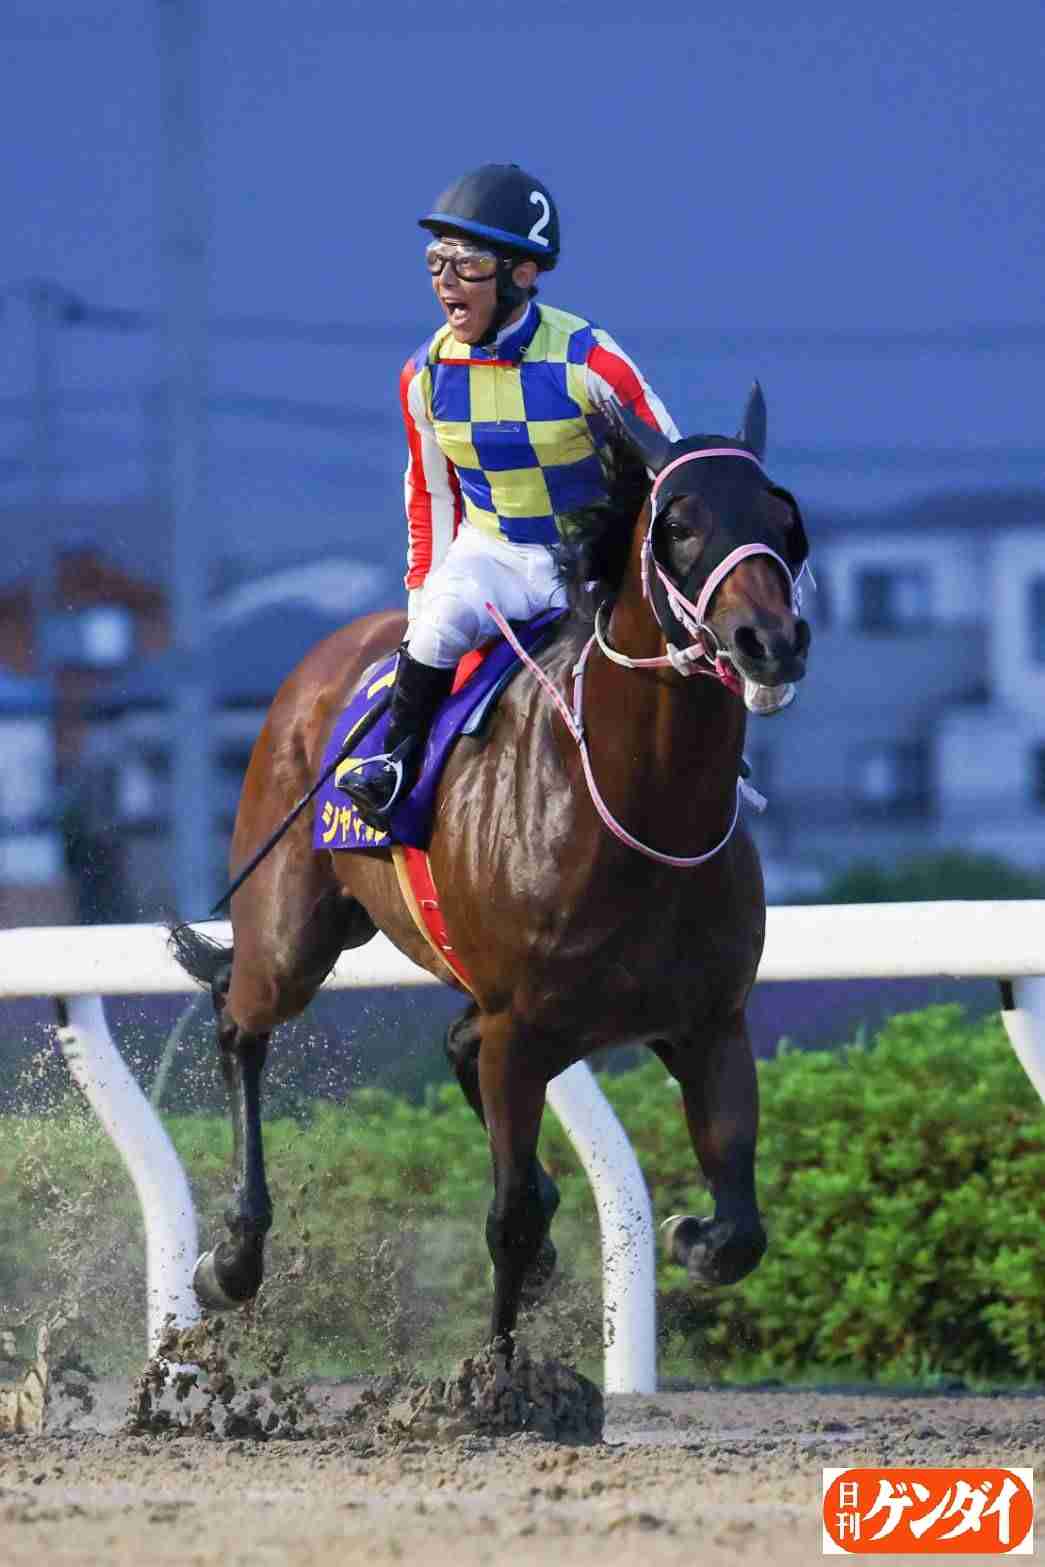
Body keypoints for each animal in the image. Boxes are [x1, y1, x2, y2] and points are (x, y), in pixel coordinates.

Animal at [170, 385, 812, 1355]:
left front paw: (686, 1232)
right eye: (679, 524)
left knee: (448, 1042)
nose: (767, 640)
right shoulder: (522, 1028)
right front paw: (498, 1368)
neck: (637, 811)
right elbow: (506, 1216)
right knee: (238, 1016)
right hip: (290, 933)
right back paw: (234, 1254)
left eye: (783, 520)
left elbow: (737, 1226)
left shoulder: (709, 1022)